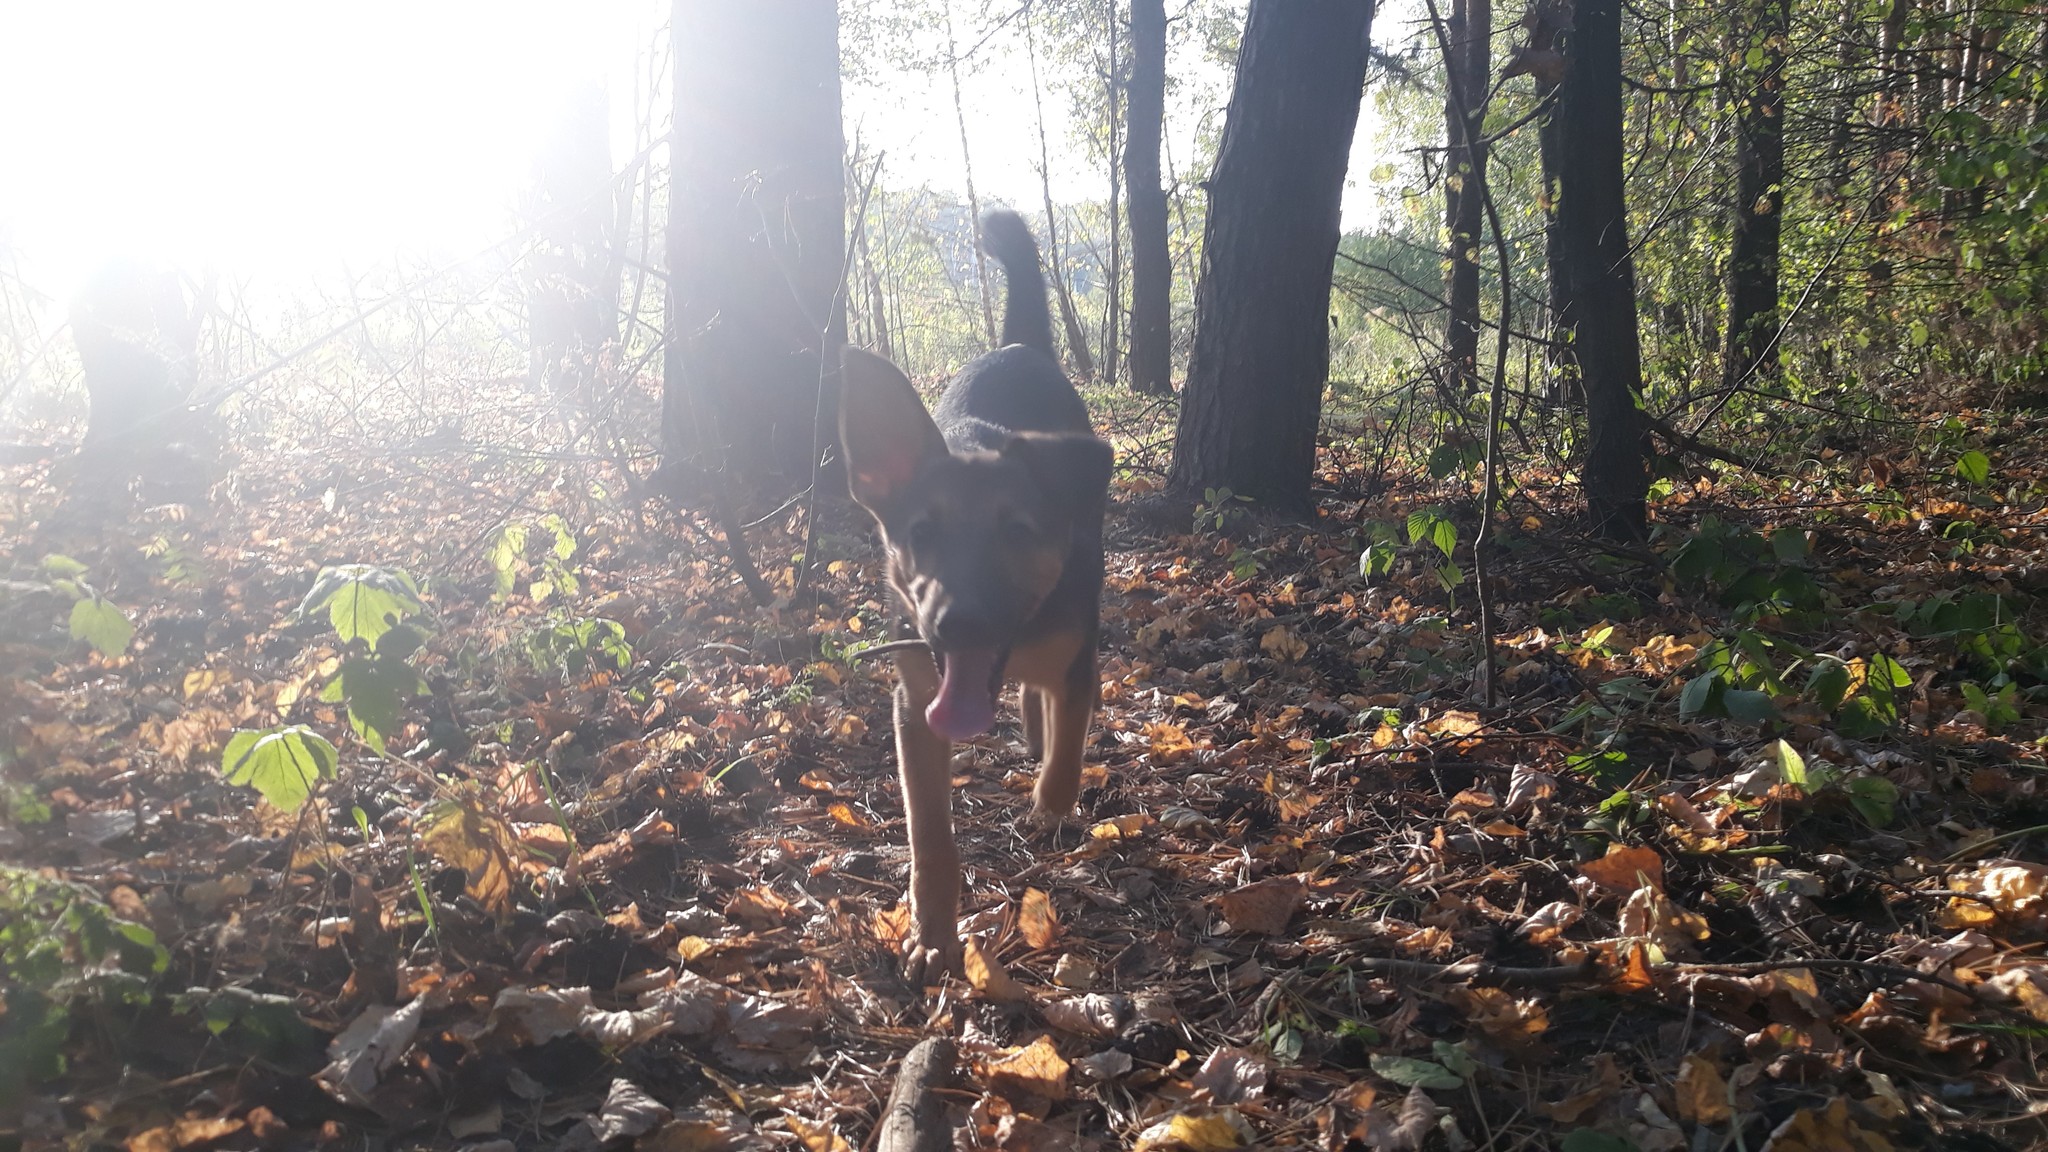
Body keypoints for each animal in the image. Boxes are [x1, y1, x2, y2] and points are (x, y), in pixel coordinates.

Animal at [839, 208, 1114, 975]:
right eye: (920, 532)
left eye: (1016, 531)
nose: (956, 625)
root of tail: (1019, 345)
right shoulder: (915, 706)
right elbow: (930, 838)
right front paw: (934, 937)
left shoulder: (1079, 654)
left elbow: (1070, 745)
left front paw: (1050, 804)